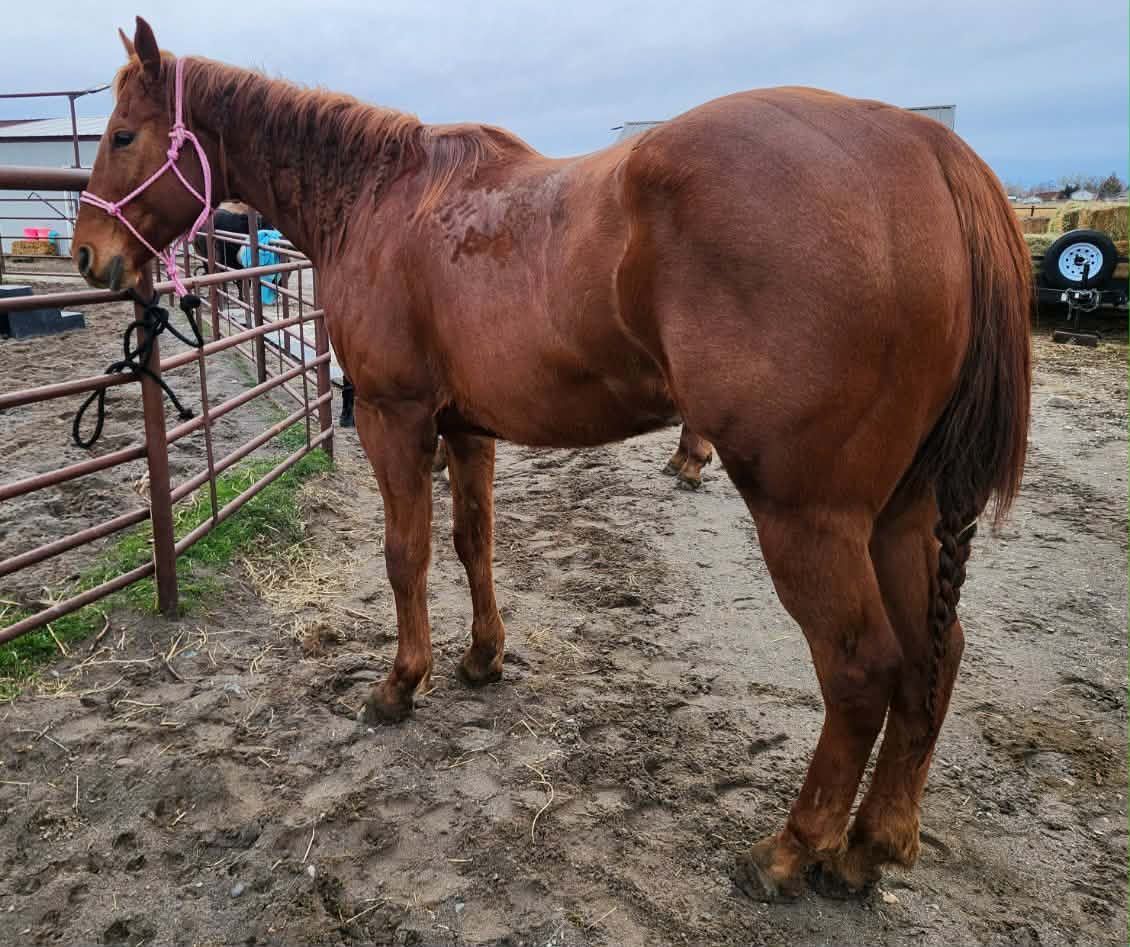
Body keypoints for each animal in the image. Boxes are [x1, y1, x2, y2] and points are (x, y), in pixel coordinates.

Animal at [73, 18, 1031, 904]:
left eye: (121, 136)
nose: (89, 254)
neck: (382, 201)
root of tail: (926, 150)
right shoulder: (467, 428)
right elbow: (474, 544)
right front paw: (481, 658)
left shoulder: (394, 417)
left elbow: (405, 554)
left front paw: (400, 684)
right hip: (902, 512)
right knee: (933, 656)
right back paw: (873, 845)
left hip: (809, 515)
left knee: (862, 670)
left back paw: (790, 850)